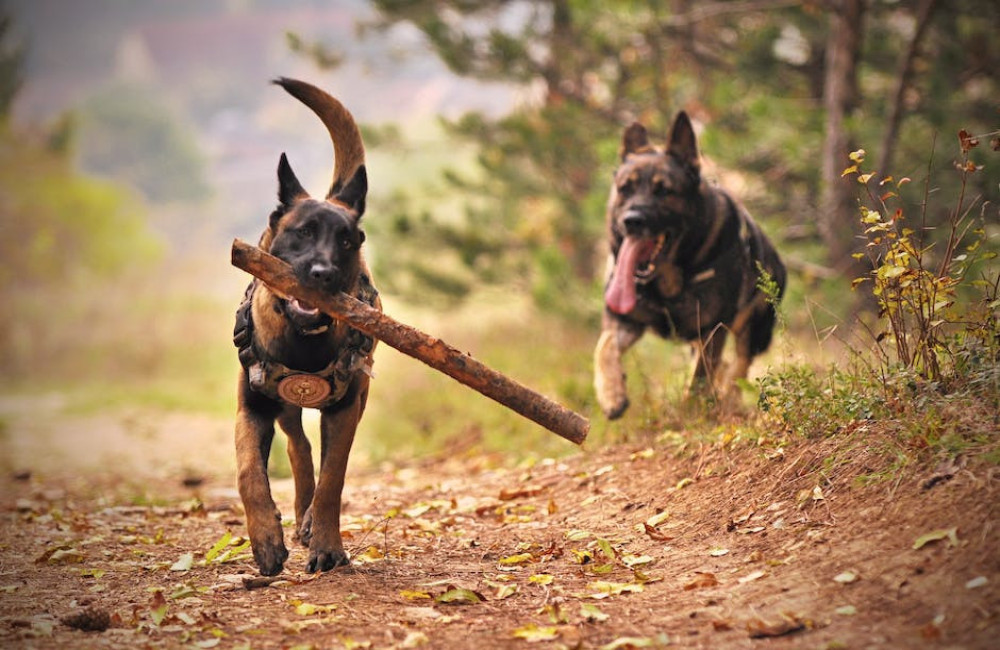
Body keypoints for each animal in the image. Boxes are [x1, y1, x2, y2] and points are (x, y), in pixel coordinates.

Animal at [232, 77, 380, 572]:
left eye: (347, 241)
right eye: (303, 233)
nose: (323, 274)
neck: (303, 340)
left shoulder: (345, 409)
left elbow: (334, 479)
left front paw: (328, 545)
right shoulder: (252, 407)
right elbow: (248, 472)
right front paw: (265, 539)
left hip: (359, 398)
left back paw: (311, 521)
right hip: (283, 407)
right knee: (298, 446)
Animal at [588, 111, 784, 418]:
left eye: (663, 191)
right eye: (625, 189)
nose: (631, 221)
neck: (665, 282)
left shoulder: (712, 331)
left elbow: (698, 380)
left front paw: (691, 414)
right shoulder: (624, 321)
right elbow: (604, 347)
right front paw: (611, 393)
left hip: (754, 330)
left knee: (739, 366)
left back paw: (728, 399)